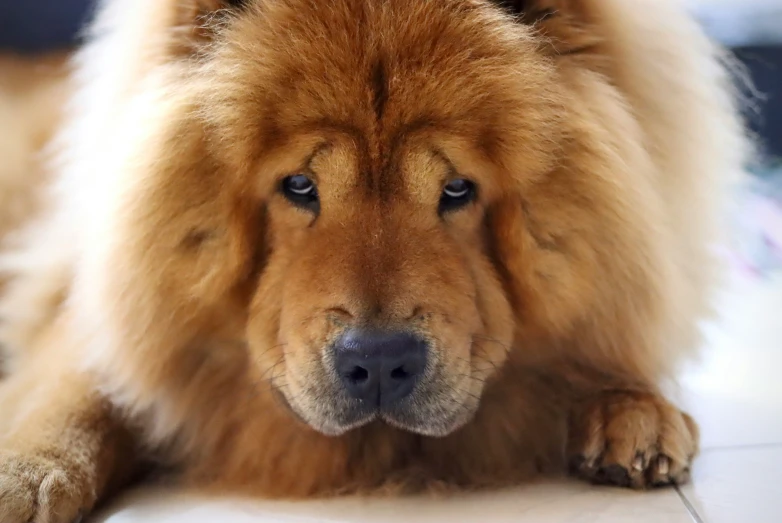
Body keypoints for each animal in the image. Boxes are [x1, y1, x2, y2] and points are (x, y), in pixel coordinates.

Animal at [0, 0, 752, 520]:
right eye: (299, 186)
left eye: (457, 189)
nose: (382, 359)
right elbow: (78, 391)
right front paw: (25, 476)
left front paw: (632, 410)